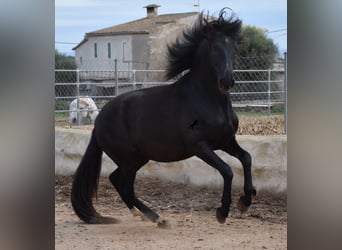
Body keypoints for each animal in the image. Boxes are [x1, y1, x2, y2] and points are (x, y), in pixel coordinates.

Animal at [71, 8, 255, 228]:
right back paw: (158, 218)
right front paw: (222, 212)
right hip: (129, 159)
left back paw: (147, 216)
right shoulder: (200, 146)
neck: (208, 100)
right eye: (214, 48)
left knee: (118, 181)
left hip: (138, 158)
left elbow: (246, 158)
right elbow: (227, 170)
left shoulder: (226, 141)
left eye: (233, 47)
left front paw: (245, 202)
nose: (227, 81)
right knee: (124, 186)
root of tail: (98, 122)